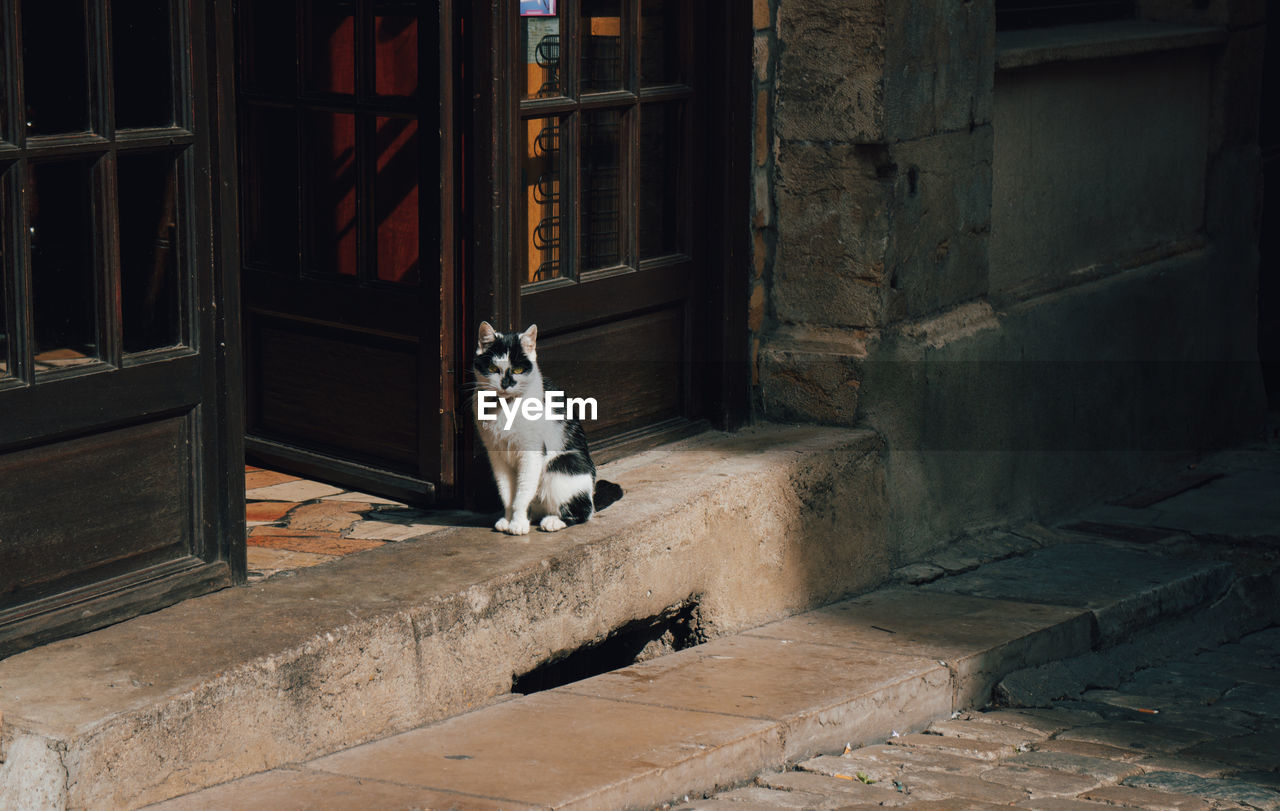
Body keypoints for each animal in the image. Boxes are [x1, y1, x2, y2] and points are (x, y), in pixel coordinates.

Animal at [476, 318, 624, 534]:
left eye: (518, 370)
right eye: (494, 369)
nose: (505, 383)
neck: (505, 408)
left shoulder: (532, 452)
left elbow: (522, 493)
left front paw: (517, 523)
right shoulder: (496, 454)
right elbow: (507, 493)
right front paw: (509, 519)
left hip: (562, 464)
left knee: (584, 512)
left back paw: (554, 521)